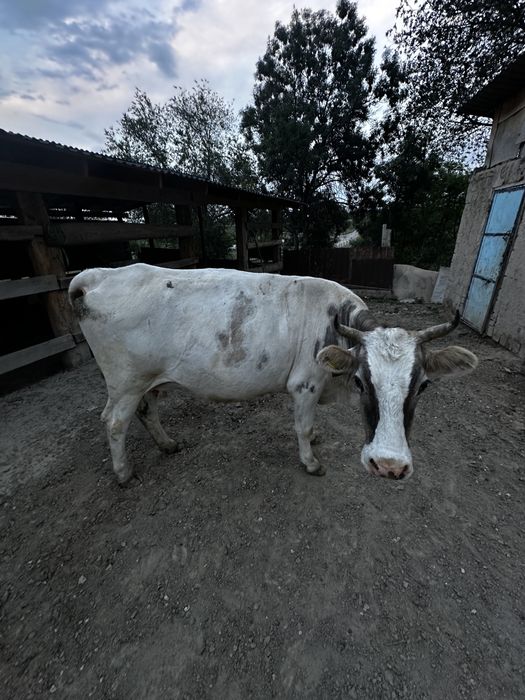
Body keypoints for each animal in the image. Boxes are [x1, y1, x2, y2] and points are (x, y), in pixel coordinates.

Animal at [68, 263, 478, 484]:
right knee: (115, 422)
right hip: (126, 381)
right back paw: (123, 473)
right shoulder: (305, 384)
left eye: (423, 385)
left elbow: (309, 427)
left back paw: (167, 444)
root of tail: (95, 276)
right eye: (362, 381)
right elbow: (301, 427)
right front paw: (310, 460)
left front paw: (316, 437)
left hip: (150, 379)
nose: (389, 466)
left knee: (147, 410)